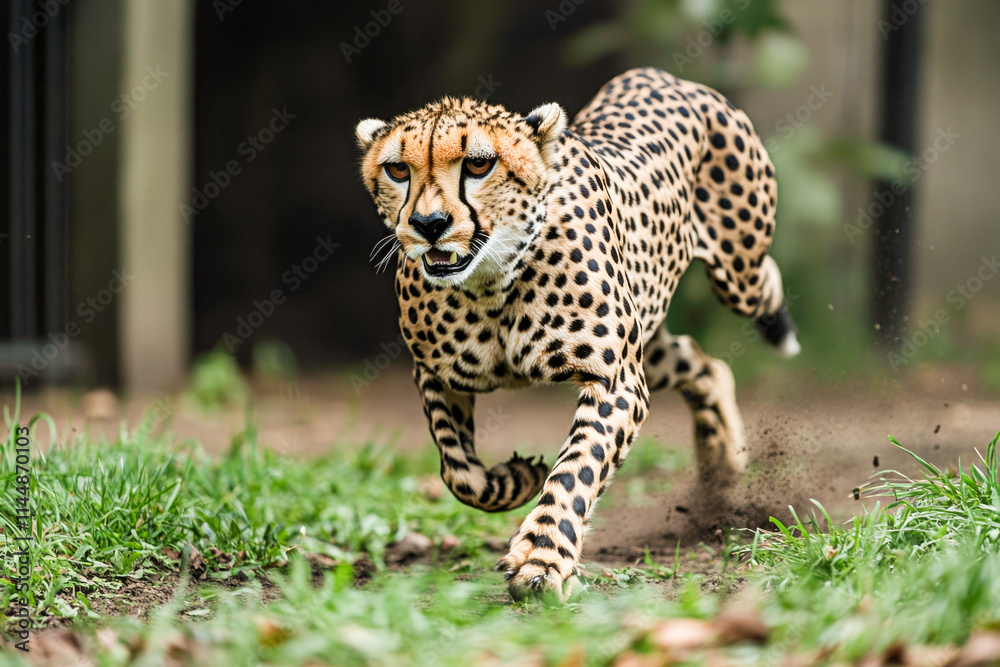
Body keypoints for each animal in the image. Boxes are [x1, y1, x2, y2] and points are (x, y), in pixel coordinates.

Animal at [356, 66, 800, 600]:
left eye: (479, 165)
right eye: (398, 171)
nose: (429, 224)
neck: (491, 283)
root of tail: (657, 73)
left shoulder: (615, 379)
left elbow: (577, 467)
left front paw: (541, 558)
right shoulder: (435, 376)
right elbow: (458, 470)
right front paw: (514, 478)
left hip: (737, 277)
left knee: (765, 286)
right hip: (650, 345)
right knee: (706, 366)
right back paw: (721, 468)